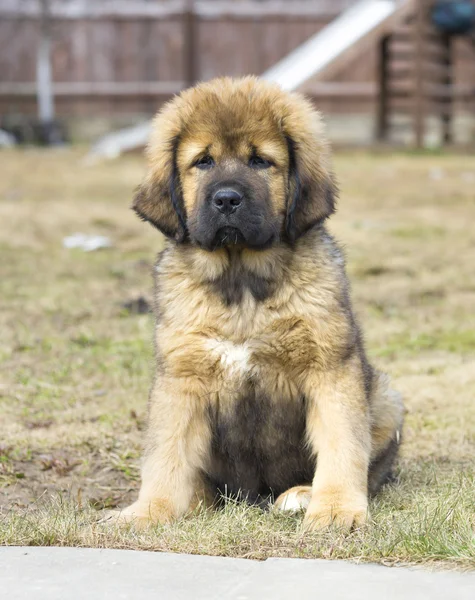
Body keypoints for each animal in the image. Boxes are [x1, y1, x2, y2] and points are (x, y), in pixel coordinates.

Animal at [112, 75, 406, 528]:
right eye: (203, 162)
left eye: (260, 162)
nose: (227, 199)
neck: (242, 285)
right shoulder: (180, 378)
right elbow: (166, 455)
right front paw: (149, 511)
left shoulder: (330, 368)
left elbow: (342, 444)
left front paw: (336, 508)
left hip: (386, 399)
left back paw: (301, 493)